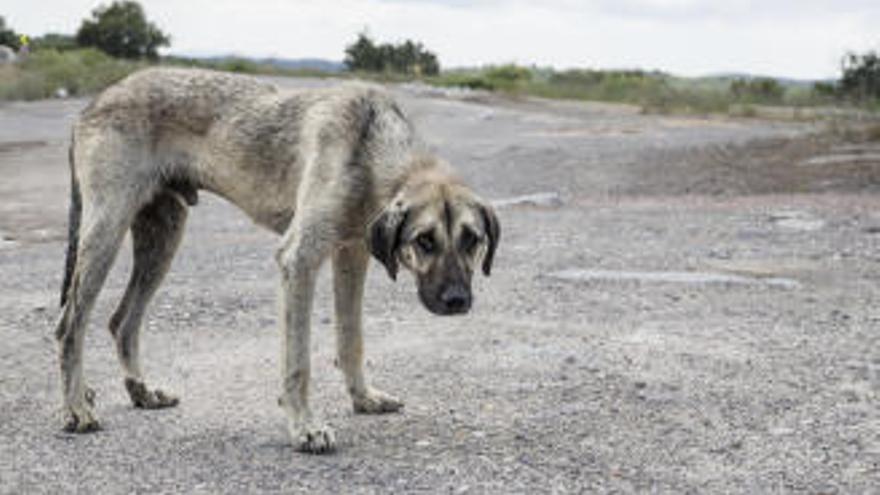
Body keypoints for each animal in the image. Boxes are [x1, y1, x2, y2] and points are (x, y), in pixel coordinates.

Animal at [51, 68, 498, 456]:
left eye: (472, 240)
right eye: (424, 241)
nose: (457, 301)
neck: (371, 146)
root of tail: (93, 103)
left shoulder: (351, 255)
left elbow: (351, 339)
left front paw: (363, 397)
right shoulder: (299, 260)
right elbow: (298, 362)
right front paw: (305, 427)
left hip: (162, 237)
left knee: (122, 321)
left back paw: (142, 391)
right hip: (106, 231)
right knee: (70, 324)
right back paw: (76, 409)